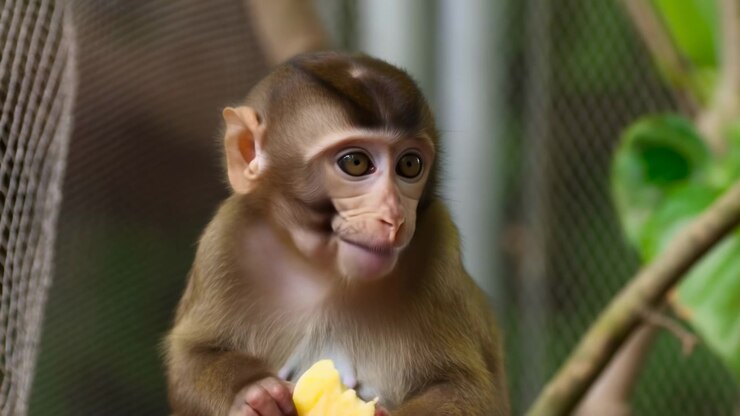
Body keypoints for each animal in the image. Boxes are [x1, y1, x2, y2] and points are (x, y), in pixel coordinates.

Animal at [164, 51, 509, 416]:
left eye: (410, 165)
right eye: (355, 163)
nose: (394, 215)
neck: (324, 270)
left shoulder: (439, 246)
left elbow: (466, 388)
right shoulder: (225, 240)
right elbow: (190, 360)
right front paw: (252, 394)